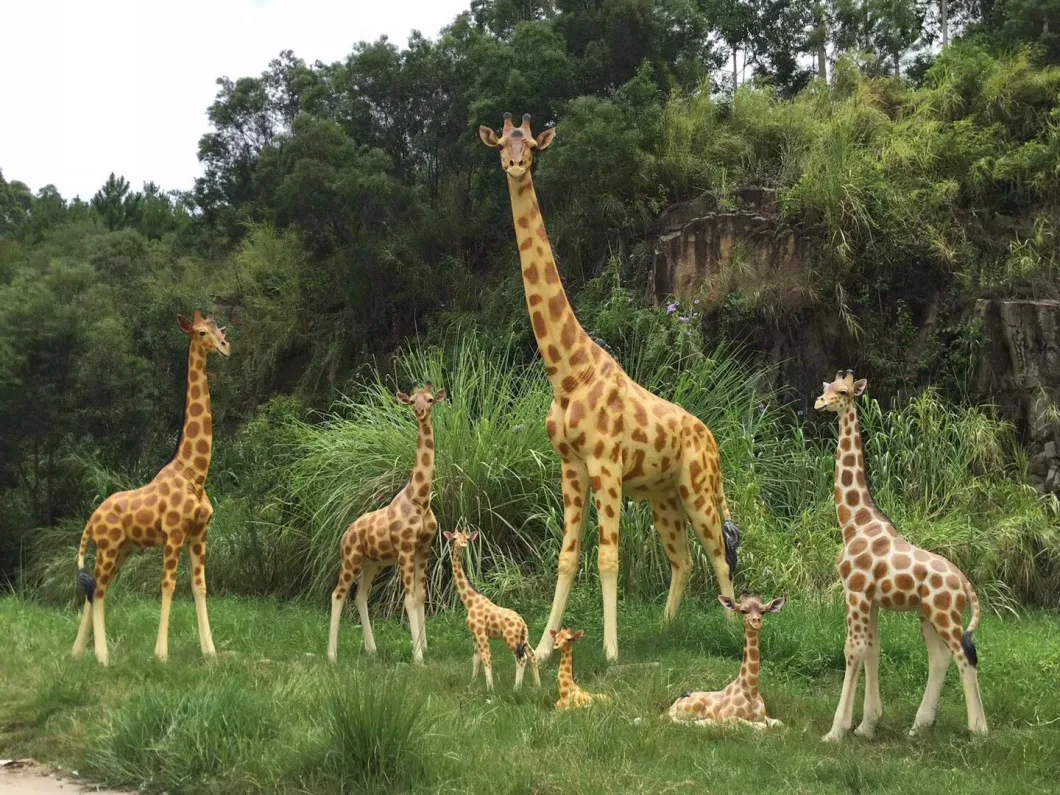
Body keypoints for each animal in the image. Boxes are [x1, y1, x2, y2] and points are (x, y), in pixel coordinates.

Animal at [72, 311, 230, 665]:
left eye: (221, 330)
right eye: (202, 333)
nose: (226, 347)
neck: (194, 473)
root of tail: (90, 522)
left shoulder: (199, 535)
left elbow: (200, 587)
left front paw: (210, 653)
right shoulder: (173, 534)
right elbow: (168, 586)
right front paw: (161, 655)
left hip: (121, 550)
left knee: (95, 589)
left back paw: (78, 652)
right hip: (108, 548)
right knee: (98, 591)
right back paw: (102, 657)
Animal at [330, 385, 447, 665]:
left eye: (430, 400)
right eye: (412, 401)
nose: (421, 411)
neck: (420, 499)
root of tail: (345, 535)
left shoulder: (424, 549)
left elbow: (421, 596)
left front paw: (424, 647)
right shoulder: (405, 549)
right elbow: (409, 600)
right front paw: (417, 657)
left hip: (371, 563)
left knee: (360, 595)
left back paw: (371, 649)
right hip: (350, 559)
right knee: (337, 594)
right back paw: (332, 655)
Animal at [440, 530, 538, 691]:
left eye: (467, 538)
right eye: (454, 538)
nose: (463, 545)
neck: (470, 601)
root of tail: (523, 624)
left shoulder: (481, 632)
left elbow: (486, 656)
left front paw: (490, 689)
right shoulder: (473, 633)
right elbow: (476, 657)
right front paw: (472, 683)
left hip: (511, 638)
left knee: (520, 657)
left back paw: (516, 688)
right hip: (523, 638)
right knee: (532, 654)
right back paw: (538, 686)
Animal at [669, 593, 788, 733]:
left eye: (763, 611)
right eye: (743, 611)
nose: (756, 622)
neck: (751, 690)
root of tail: (671, 706)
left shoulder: (765, 716)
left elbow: (779, 723)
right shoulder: (725, 715)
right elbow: (758, 726)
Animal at [818, 373, 983, 741]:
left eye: (843, 392)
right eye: (824, 388)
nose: (820, 404)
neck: (854, 522)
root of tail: (965, 583)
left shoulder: (855, 592)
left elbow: (853, 649)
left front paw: (836, 731)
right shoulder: (872, 599)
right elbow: (872, 649)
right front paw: (867, 726)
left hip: (945, 615)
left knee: (965, 655)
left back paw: (978, 730)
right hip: (927, 614)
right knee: (940, 658)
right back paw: (919, 726)